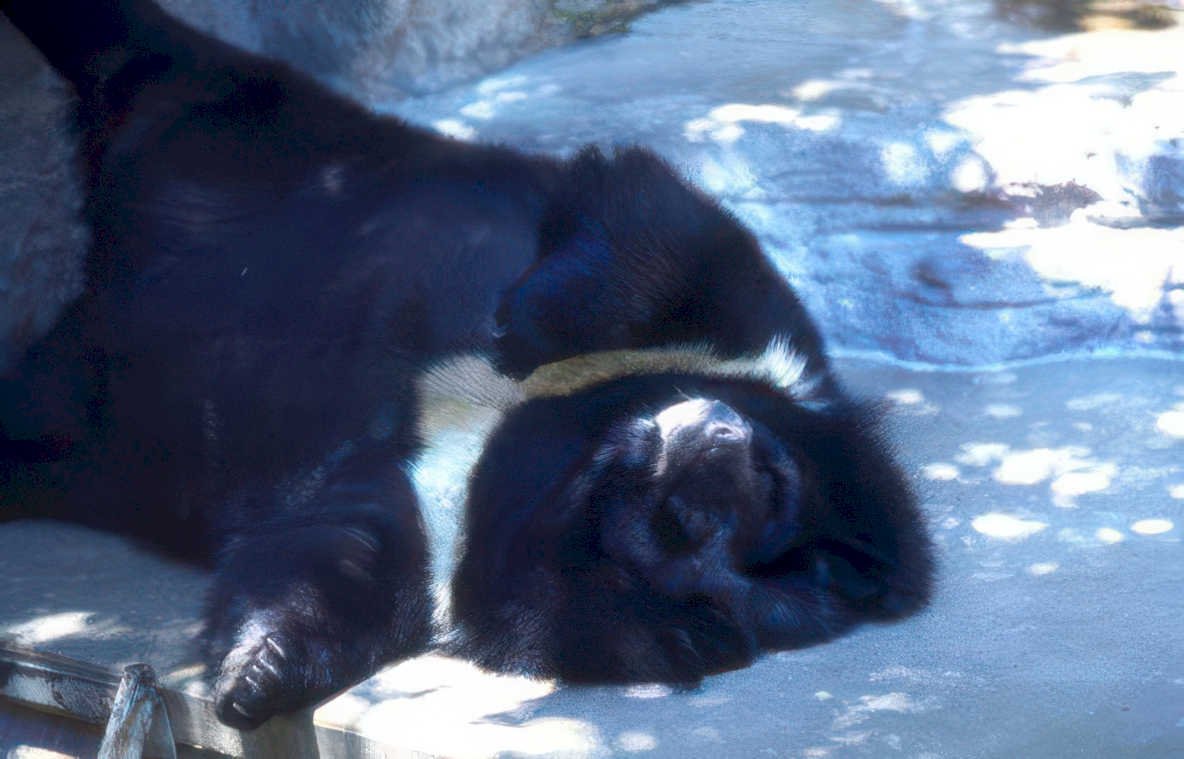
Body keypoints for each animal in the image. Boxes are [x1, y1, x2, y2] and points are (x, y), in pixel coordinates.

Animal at [0, 0, 933, 730]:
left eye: (690, 526)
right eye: (770, 482)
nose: (715, 434)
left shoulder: (454, 525)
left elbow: (340, 556)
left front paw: (252, 679)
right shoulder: (758, 343)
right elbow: (669, 232)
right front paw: (516, 326)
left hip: (92, 438)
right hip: (260, 136)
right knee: (143, 49)